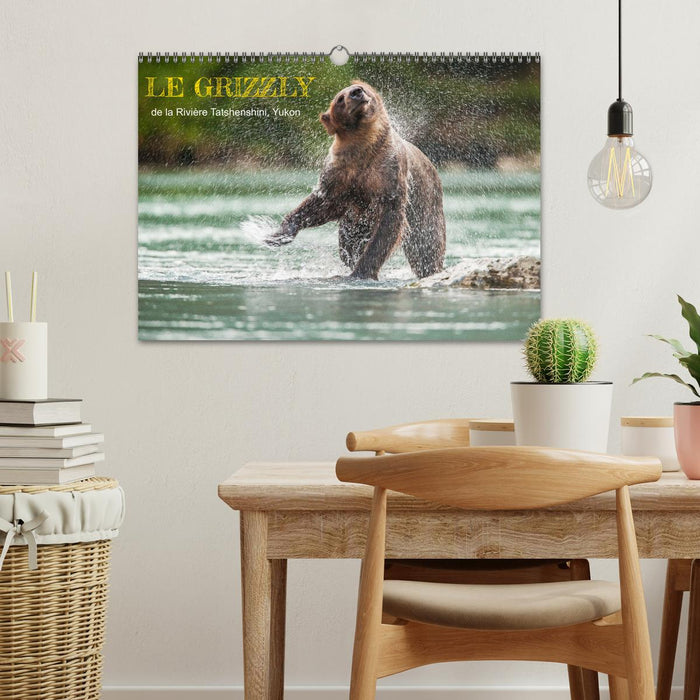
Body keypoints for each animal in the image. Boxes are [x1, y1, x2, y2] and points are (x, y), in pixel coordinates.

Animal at [264, 81, 446, 280]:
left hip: (424, 208)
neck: (362, 147)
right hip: (353, 224)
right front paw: (277, 236)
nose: (356, 92)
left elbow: (387, 228)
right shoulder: (339, 176)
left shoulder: (388, 175)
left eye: (362, 88)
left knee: (426, 249)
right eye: (340, 98)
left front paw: (362, 271)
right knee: (347, 246)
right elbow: (320, 204)